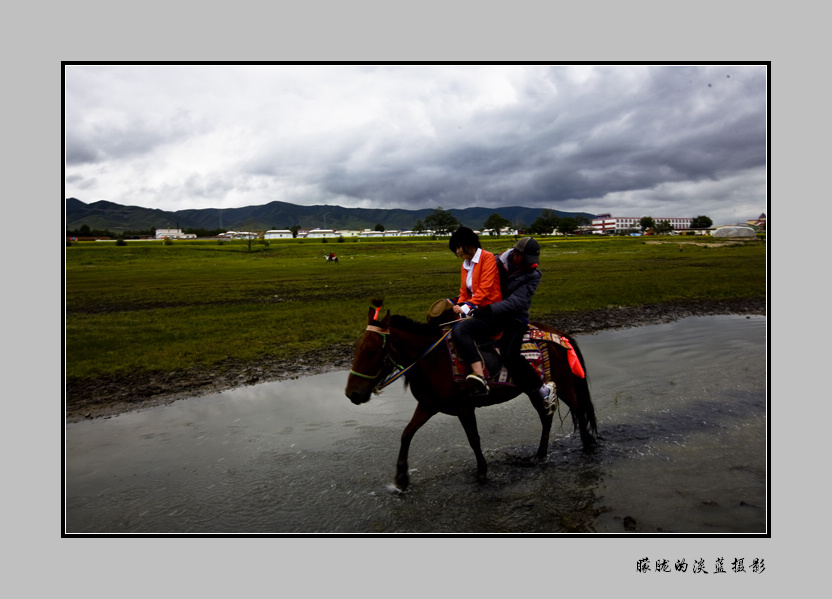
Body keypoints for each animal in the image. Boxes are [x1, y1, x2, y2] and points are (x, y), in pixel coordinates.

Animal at [344, 302, 600, 490]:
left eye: (371, 351)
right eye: (356, 348)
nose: (352, 393)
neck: (433, 360)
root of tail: (561, 335)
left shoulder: (464, 408)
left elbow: (473, 439)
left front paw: (482, 473)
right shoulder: (428, 405)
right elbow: (406, 434)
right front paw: (401, 478)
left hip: (564, 385)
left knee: (578, 409)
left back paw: (588, 446)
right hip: (532, 389)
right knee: (546, 417)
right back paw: (539, 455)